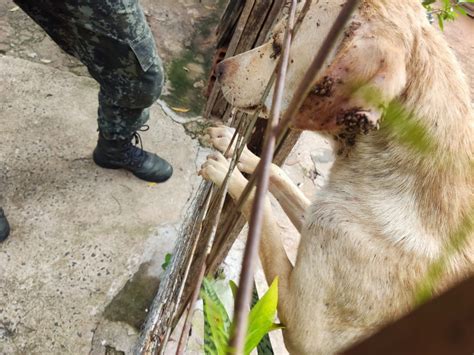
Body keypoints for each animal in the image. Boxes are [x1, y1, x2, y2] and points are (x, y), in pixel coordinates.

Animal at [198, 1, 472, 354]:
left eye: (277, 47)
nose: (218, 69)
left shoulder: (303, 330)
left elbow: (266, 220)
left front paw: (227, 174)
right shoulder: (322, 217)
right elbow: (275, 172)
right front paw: (238, 150)